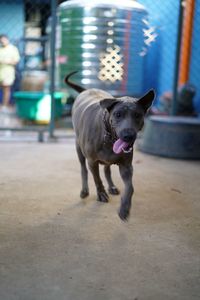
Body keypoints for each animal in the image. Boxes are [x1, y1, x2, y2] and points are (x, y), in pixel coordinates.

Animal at [65, 70, 155, 220]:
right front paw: (101, 193)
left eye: (137, 115)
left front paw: (124, 208)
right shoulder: (92, 162)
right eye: (118, 114)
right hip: (79, 149)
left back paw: (111, 186)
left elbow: (130, 188)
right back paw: (85, 190)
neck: (109, 137)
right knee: (83, 169)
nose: (128, 135)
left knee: (107, 170)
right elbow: (97, 179)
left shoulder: (126, 166)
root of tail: (86, 90)